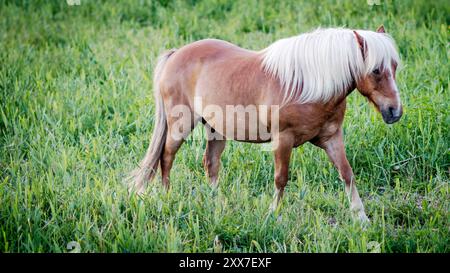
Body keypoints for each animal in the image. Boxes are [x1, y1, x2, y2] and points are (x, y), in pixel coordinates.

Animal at [129, 25, 400, 221]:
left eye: (395, 66)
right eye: (376, 70)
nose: (395, 111)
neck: (308, 85)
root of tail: (176, 53)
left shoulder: (332, 138)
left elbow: (347, 174)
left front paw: (361, 218)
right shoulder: (283, 140)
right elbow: (281, 178)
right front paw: (273, 215)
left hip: (216, 130)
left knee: (211, 163)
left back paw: (216, 203)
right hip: (181, 125)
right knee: (166, 157)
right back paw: (167, 197)